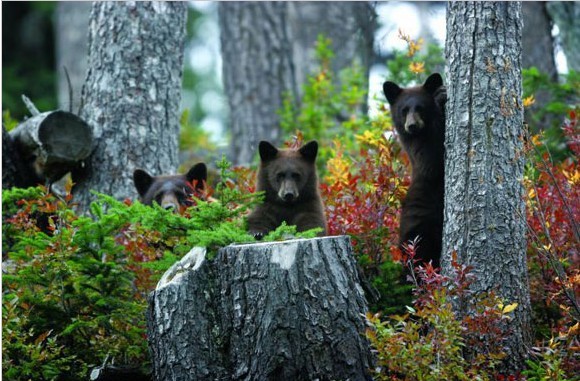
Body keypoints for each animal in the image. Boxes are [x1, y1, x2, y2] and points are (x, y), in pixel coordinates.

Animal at [382, 72, 446, 268]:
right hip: (418, 224)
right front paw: (440, 98)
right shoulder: (415, 147)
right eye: (404, 110)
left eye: (420, 108)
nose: (411, 126)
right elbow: (431, 162)